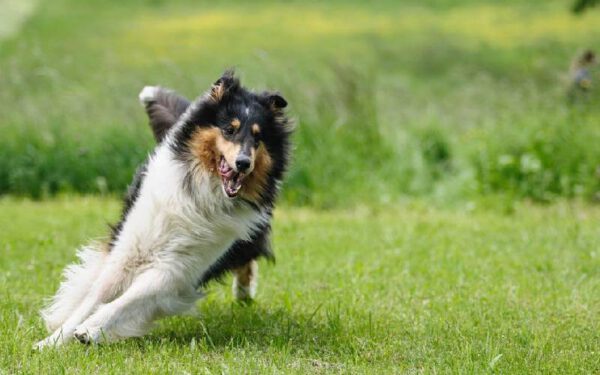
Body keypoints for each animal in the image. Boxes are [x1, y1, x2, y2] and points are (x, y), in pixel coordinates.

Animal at [35, 71, 292, 350]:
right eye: (229, 129)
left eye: (258, 137)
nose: (243, 163)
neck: (201, 194)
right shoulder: (129, 250)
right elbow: (95, 295)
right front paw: (51, 341)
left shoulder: (177, 269)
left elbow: (129, 298)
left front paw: (90, 330)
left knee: (248, 257)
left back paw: (244, 293)